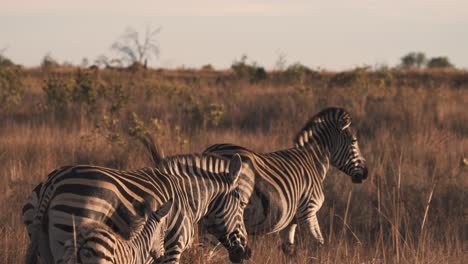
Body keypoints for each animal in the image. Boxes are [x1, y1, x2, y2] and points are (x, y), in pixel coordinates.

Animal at [24, 154, 252, 262]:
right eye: (242, 205)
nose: (247, 253)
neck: (188, 199)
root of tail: (53, 180)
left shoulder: (151, 250)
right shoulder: (173, 247)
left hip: (43, 244)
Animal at [203, 106, 368, 254]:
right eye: (354, 141)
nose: (366, 173)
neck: (313, 162)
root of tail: (210, 151)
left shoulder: (290, 222)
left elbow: (289, 250)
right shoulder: (308, 211)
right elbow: (319, 243)